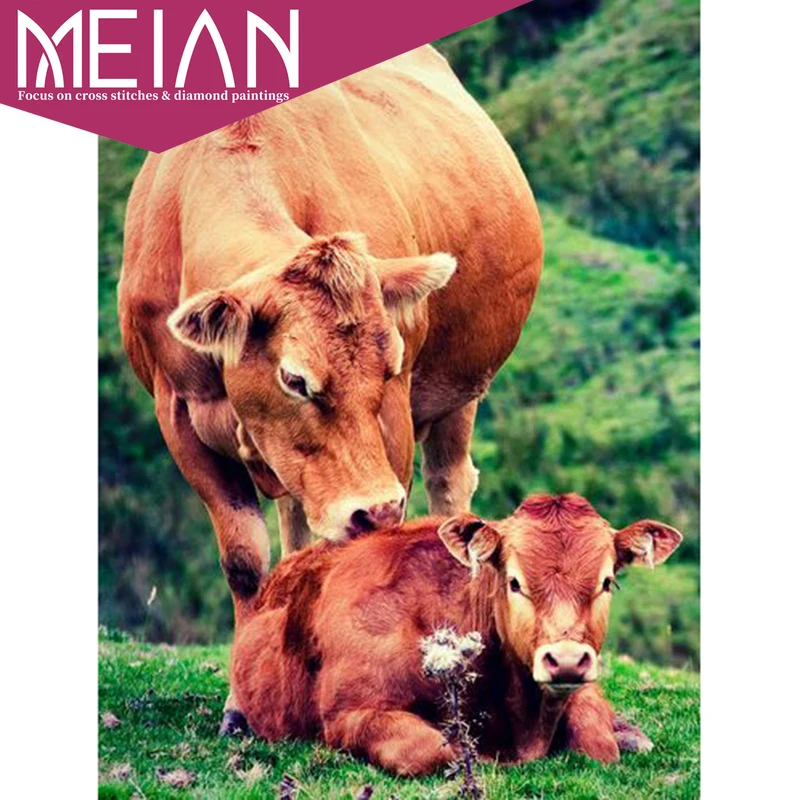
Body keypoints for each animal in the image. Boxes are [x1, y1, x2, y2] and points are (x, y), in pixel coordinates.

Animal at [118, 45, 542, 729]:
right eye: (294, 378)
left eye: (391, 363)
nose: (375, 508)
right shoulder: (178, 416)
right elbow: (245, 561)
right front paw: (243, 703)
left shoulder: (394, 427)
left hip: (461, 391)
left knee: (451, 490)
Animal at [229, 493, 683, 774]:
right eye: (514, 582)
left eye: (607, 582)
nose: (567, 660)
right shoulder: (349, 713)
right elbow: (433, 751)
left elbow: (596, 740)